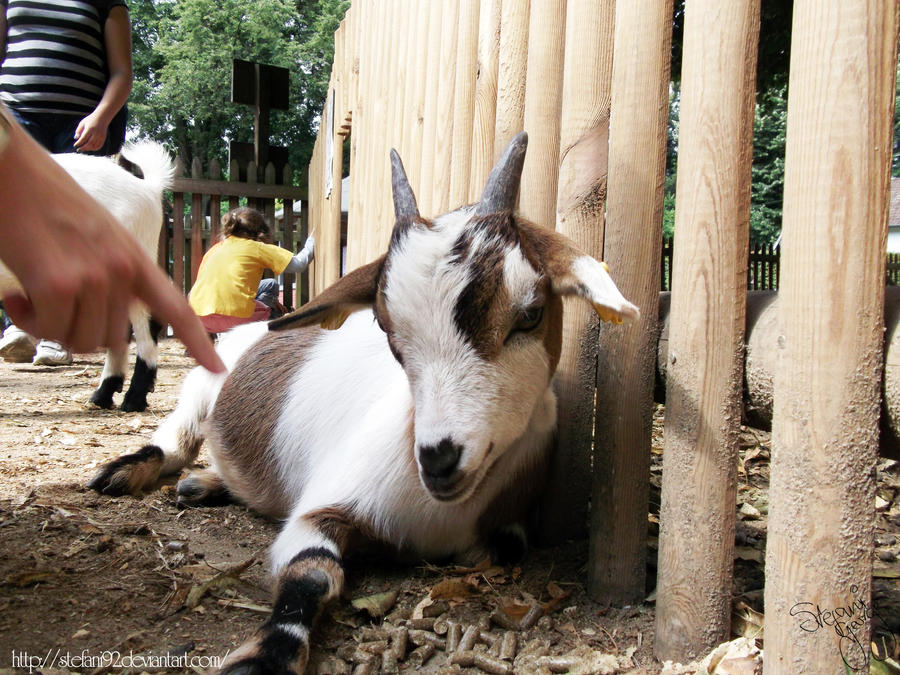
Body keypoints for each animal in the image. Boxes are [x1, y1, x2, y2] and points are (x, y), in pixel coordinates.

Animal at [88, 133, 640, 675]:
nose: (438, 460)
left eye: (530, 315)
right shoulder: (320, 507)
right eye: (387, 329)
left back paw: (204, 484)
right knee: (175, 440)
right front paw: (265, 658)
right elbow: (313, 573)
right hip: (200, 390)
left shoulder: (505, 526)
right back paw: (125, 471)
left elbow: (501, 546)